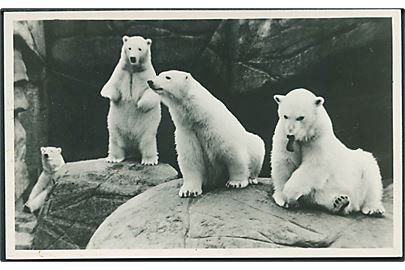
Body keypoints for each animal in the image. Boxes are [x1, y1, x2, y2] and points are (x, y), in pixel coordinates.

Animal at [100, 35, 160, 165]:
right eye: (129, 47)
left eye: (140, 48)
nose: (132, 58)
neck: (133, 69)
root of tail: (132, 147)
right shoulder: (121, 72)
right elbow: (112, 84)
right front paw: (111, 96)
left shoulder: (146, 74)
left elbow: (151, 92)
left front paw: (140, 105)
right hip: (115, 126)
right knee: (115, 141)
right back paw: (113, 158)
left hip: (147, 129)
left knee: (147, 142)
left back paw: (149, 160)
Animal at [270, 88, 384, 217]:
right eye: (285, 116)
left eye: (300, 117)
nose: (290, 134)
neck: (305, 137)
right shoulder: (283, 137)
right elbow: (285, 162)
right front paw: (282, 198)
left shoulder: (318, 139)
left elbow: (314, 165)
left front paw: (289, 192)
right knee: (318, 195)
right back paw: (339, 202)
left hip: (360, 166)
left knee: (371, 174)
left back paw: (373, 208)